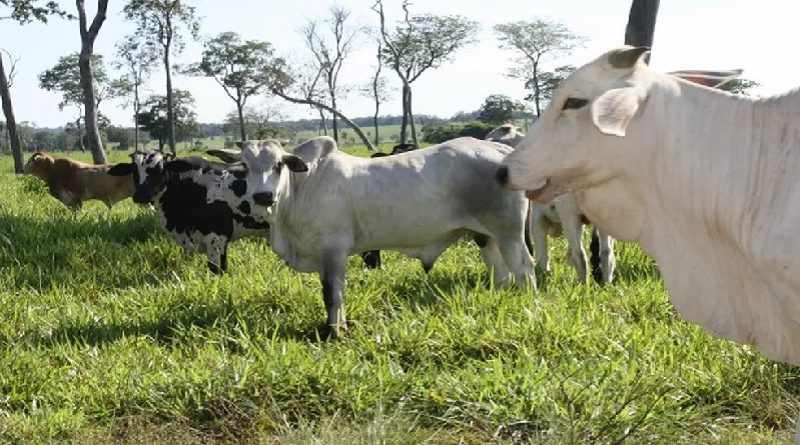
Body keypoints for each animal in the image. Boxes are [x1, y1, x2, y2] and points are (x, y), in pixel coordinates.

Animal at [210, 137, 535, 338]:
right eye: (244, 166)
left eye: (279, 164)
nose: (263, 196)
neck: (301, 187)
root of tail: (499, 150)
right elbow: (337, 293)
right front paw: (339, 326)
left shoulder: (333, 248)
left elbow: (332, 293)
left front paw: (333, 332)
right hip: (487, 237)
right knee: (502, 273)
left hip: (509, 233)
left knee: (524, 269)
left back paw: (527, 304)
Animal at [486, 124, 616, 284]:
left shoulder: (536, 217)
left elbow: (541, 250)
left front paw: (543, 273)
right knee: (606, 251)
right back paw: (606, 282)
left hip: (568, 215)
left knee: (580, 254)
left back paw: (584, 284)